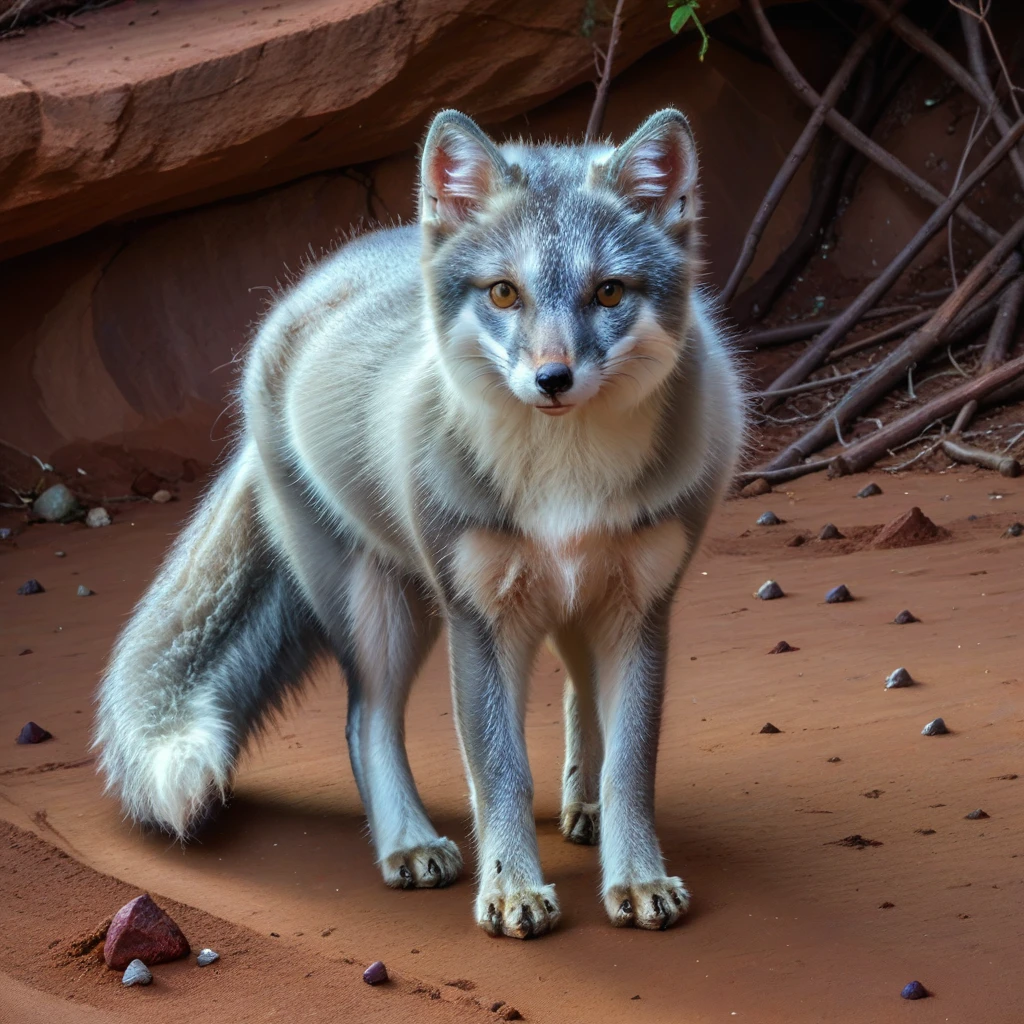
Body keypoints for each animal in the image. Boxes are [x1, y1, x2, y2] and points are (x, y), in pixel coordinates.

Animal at [94, 110, 745, 937]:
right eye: (503, 292)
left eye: (608, 292)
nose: (552, 379)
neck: (567, 483)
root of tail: (325, 273)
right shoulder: (479, 619)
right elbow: (498, 770)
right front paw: (512, 891)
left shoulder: (642, 608)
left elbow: (632, 766)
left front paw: (635, 877)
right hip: (384, 610)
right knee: (365, 722)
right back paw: (406, 843)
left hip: (563, 604)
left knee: (575, 690)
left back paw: (582, 806)